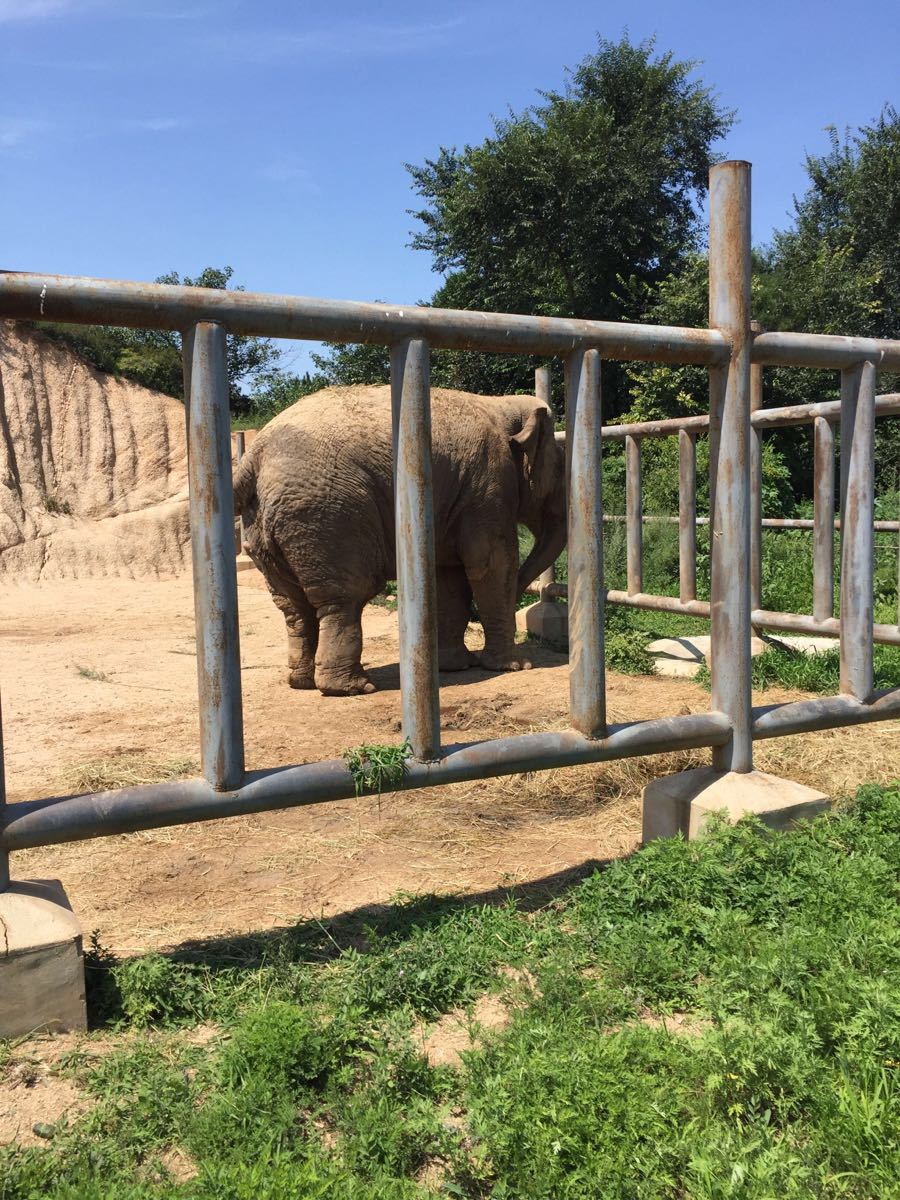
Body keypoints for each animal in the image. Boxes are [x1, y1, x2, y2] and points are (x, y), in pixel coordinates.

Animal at [232, 384, 564, 696]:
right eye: (558, 467)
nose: (524, 591)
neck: (501, 405)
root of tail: (254, 456)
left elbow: (448, 574)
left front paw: (455, 666)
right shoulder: (489, 482)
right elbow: (490, 564)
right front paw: (515, 666)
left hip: (268, 526)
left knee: (293, 606)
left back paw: (302, 682)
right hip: (328, 517)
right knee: (346, 597)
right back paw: (353, 688)